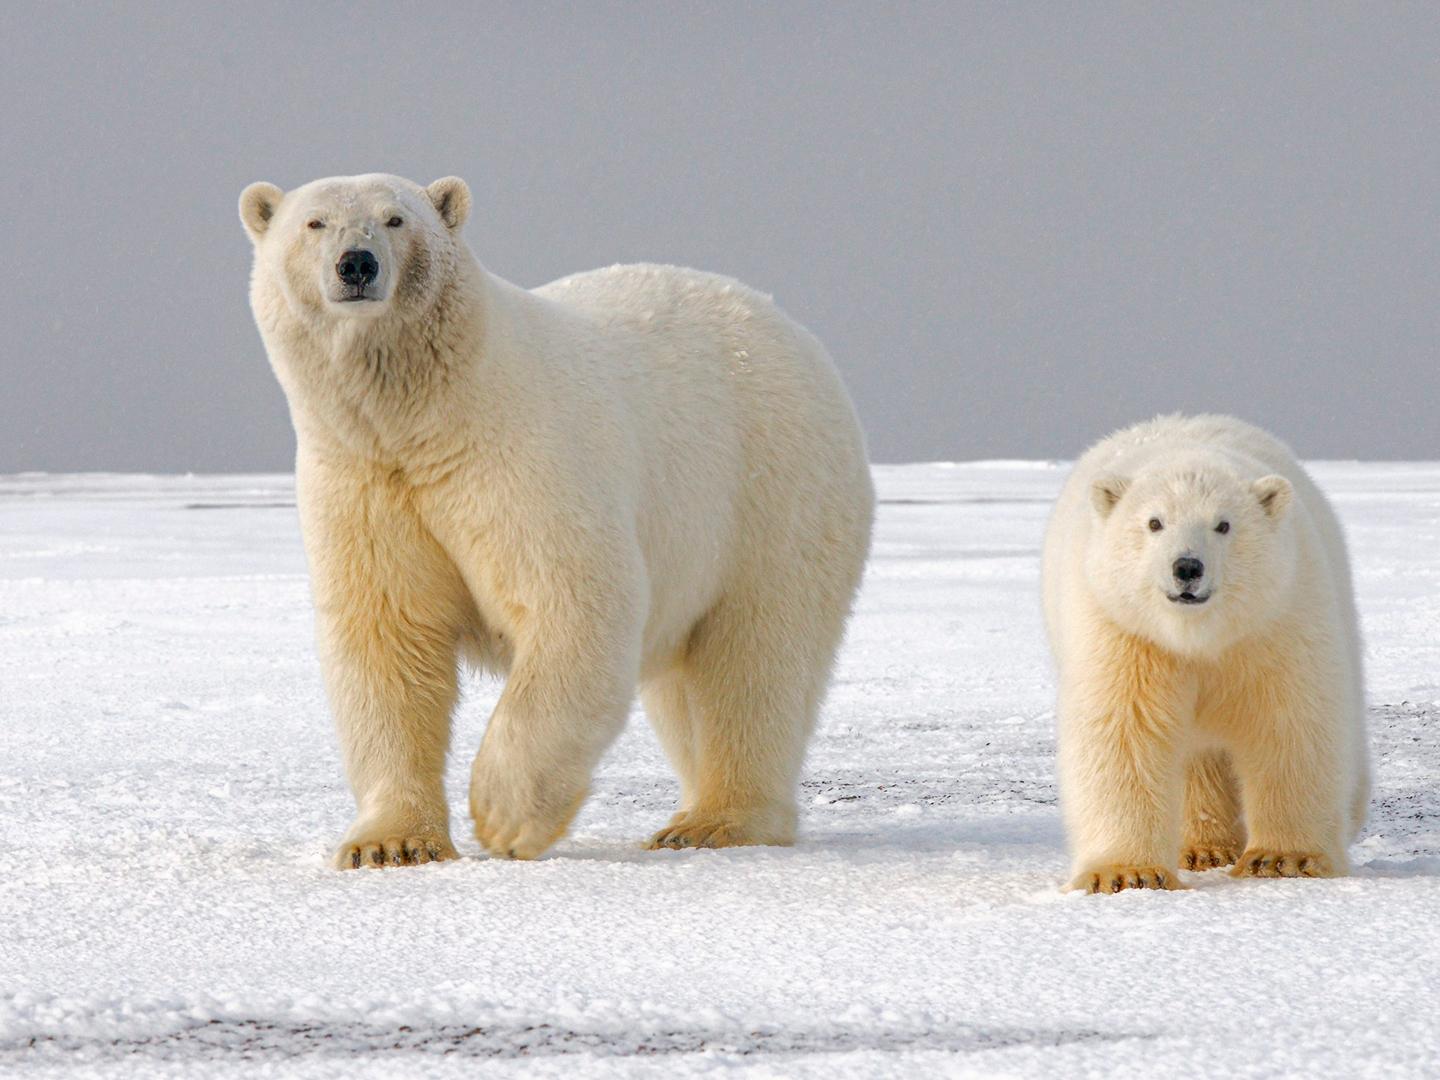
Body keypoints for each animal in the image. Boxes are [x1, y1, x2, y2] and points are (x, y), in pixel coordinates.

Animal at [240, 177, 869, 869]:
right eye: (315, 223)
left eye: (396, 219)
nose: (357, 264)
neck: (426, 417)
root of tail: (791, 328)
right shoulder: (363, 481)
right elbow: (387, 638)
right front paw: (389, 843)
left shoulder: (521, 455)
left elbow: (574, 600)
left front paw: (502, 816)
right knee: (687, 687)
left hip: (771, 490)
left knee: (756, 659)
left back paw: (714, 821)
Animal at [1042, 414, 1365, 898]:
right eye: (1154, 522)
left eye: (1224, 525)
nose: (1187, 567)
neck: (1198, 636)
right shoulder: (1124, 632)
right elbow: (1123, 732)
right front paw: (1126, 873)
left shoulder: (1275, 621)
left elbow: (1290, 722)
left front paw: (1282, 859)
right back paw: (1204, 848)